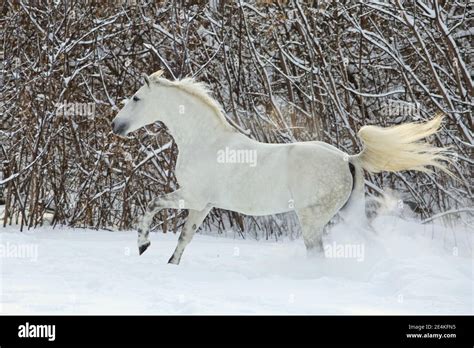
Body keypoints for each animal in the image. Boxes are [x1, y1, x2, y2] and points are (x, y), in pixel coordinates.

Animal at [111, 71, 452, 266]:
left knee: (317, 253)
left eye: (136, 98)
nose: (116, 126)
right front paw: (171, 264)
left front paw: (143, 245)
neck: (206, 141)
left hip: (312, 219)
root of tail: (348, 159)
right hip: (349, 213)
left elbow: (153, 204)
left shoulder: (192, 196)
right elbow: (185, 237)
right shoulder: (203, 205)